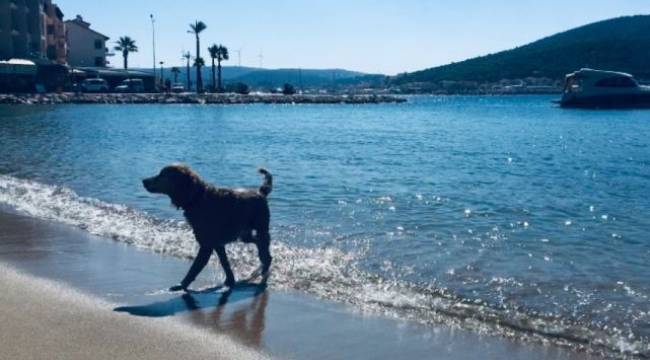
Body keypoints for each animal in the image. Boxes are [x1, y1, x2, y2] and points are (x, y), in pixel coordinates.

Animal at [142, 165, 270, 292]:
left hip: (261, 229)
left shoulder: (206, 244)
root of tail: (260, 193)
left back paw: (264, 271)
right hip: (244, 234)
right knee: (257, 242)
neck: (196, 198)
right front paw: (230, 281)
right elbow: (225, 262)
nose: (144, 181)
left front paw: (182, 285)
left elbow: (194, 268)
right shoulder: (217, 243)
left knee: (266, 253)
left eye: (162, 175)